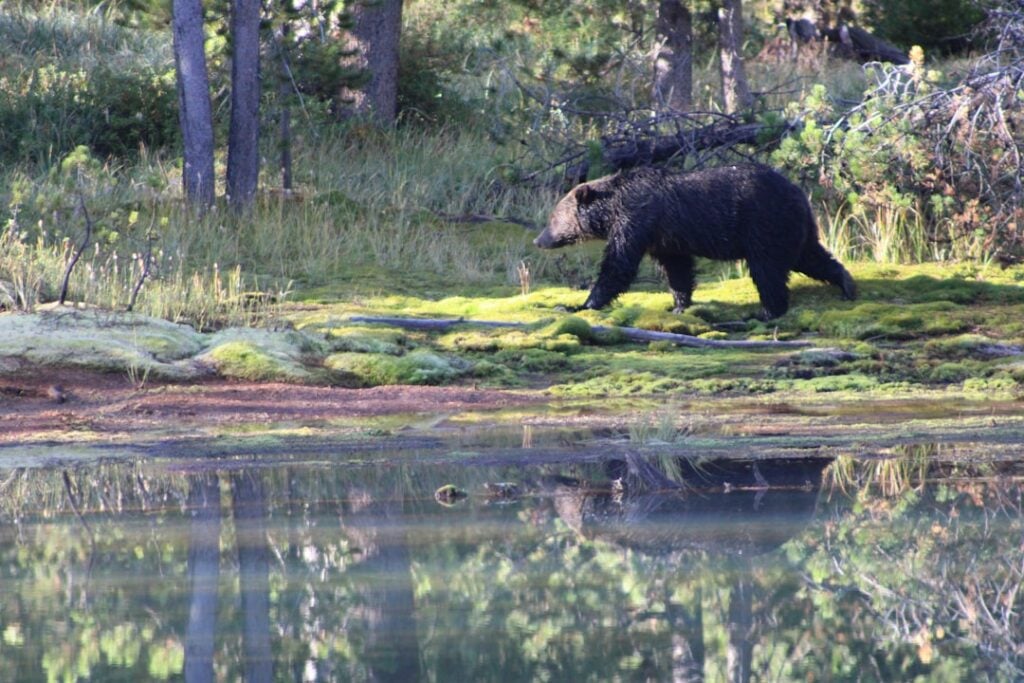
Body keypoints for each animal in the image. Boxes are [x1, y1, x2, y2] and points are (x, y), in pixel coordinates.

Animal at [534, 164, 856, 320]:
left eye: (552, 218)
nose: (539, 240)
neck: (612, 209)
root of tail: (800, 194)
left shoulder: (637, 220)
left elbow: (618, 265)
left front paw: (580, 304)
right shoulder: (664, 237)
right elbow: (678, 269)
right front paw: (678, 304)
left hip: (763, 224)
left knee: (767, 271)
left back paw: (766, 311)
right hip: (791, 228)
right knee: (812, 257)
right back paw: (846, 284)